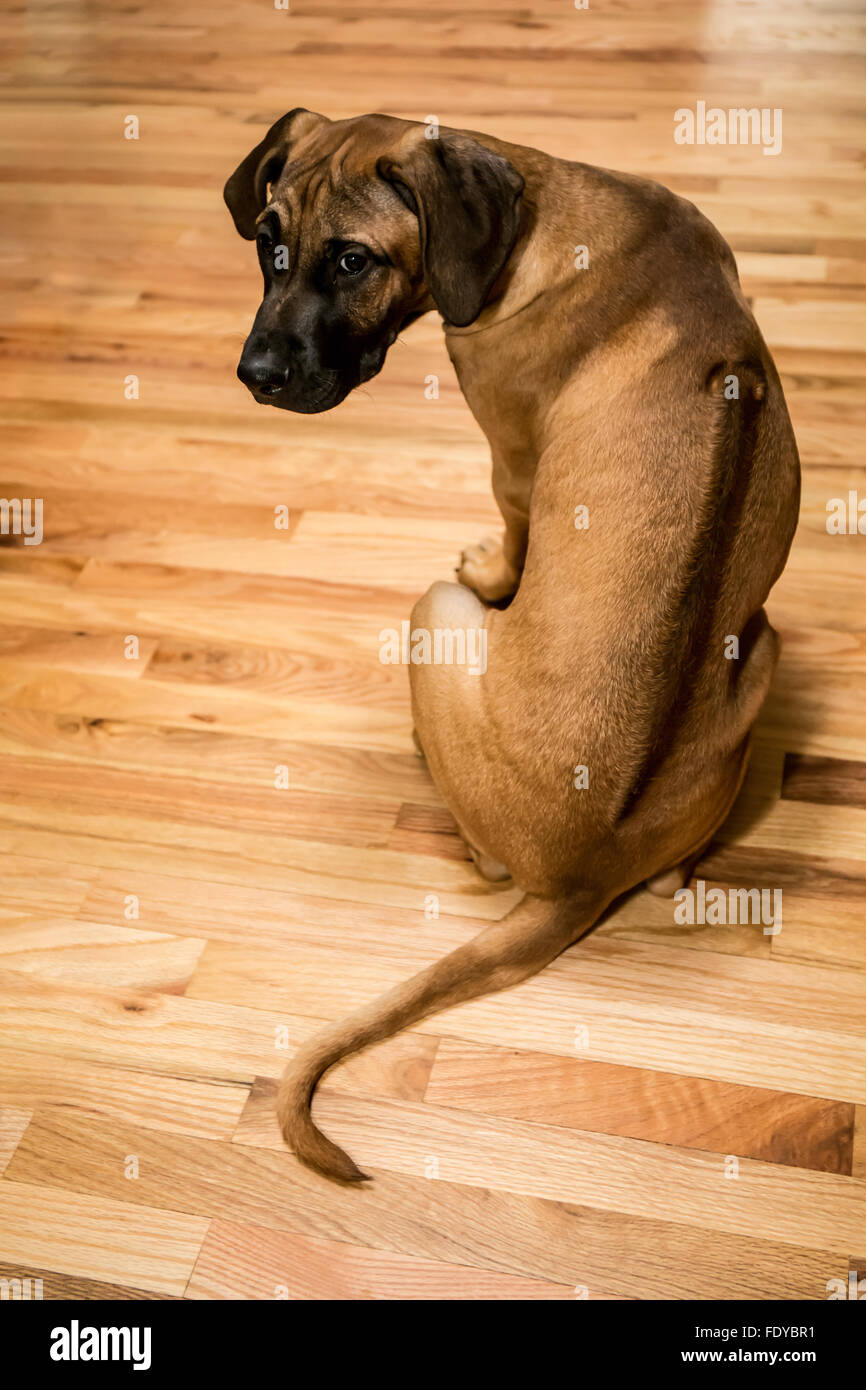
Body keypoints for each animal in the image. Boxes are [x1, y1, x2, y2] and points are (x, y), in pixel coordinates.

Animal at [223, 111, 800, 1184]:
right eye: (267, 243)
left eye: (354, 259)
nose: (256, 377)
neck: (540, 214)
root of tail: (580, 878)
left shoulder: (514, 463)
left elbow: (513, 532)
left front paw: (499, 567)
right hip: (767, 650)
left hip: (430, 614)